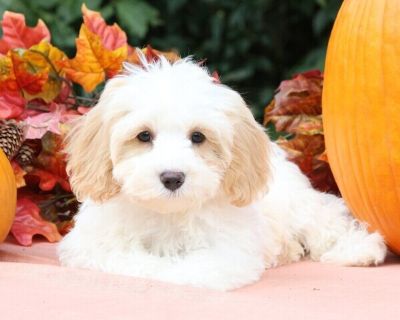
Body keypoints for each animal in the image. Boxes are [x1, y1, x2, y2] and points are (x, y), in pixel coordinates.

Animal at [57, 56, 386, 292]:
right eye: (144, 136)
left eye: (198, 137)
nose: (172, 177)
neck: (169, 213)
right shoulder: (94, 245)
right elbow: (132, 260)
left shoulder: (228, 252)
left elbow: (196, 268)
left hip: (298, 204)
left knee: (327, 219)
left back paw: (360, 249)